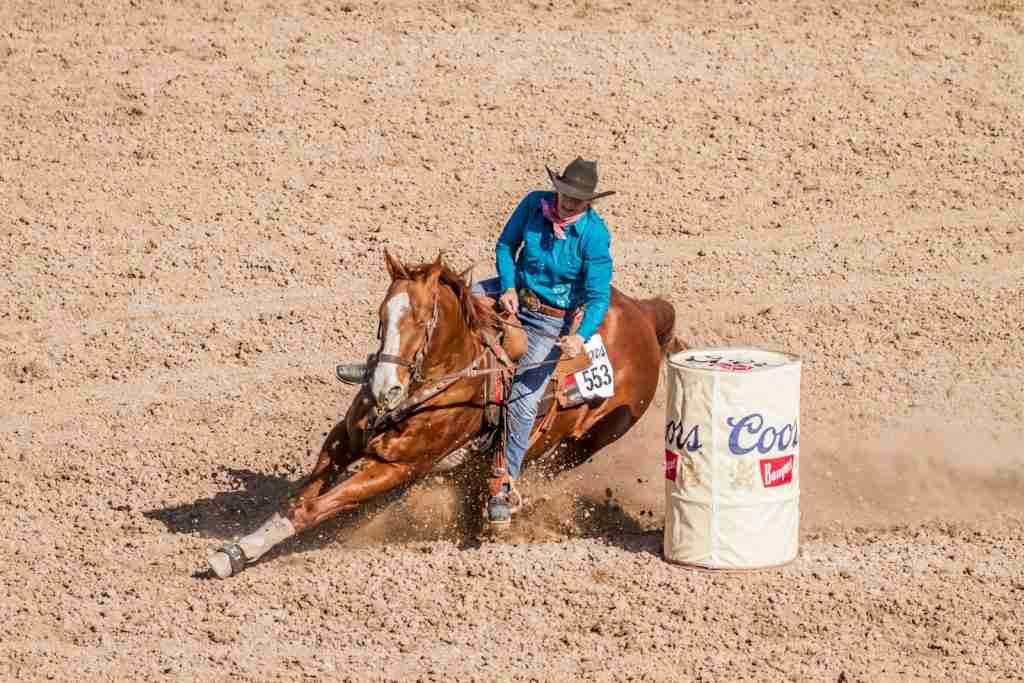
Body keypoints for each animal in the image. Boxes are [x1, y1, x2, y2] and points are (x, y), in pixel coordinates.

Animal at [207, 250, 679, 577]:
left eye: (420, 319)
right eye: (381, 316)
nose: (384, 387)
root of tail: (645, 314)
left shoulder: (397, 465)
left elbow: (314, 508)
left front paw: (242, 554)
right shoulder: (344, 438)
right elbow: (298, 500)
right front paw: (241, 548)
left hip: (584, 444)